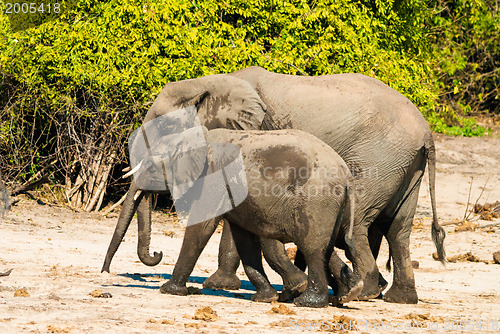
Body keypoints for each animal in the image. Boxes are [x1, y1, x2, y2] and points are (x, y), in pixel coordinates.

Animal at [101, 66, 446, 304]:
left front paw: (217, 285)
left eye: (162, 128)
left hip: (380, 158)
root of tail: (426, 130)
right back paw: (395, 297)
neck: (209, 84)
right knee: (398, 229)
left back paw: (364, 292)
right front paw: (225, 285)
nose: (157, 254)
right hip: (405, 165)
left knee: (358, 224)